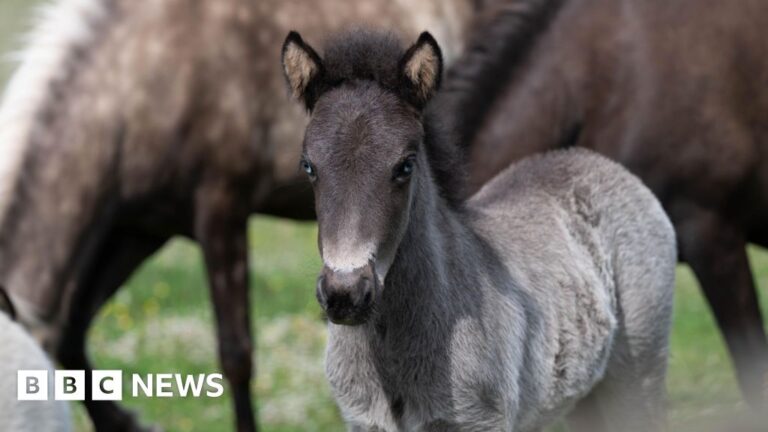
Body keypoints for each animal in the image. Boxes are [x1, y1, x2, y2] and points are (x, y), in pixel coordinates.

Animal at [281, 29, 676, 431]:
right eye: (308, 166)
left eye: (405, 165)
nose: (345, 294)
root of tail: (600, 163)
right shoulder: (362, 422)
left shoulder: (482, 420)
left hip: (639, 373)